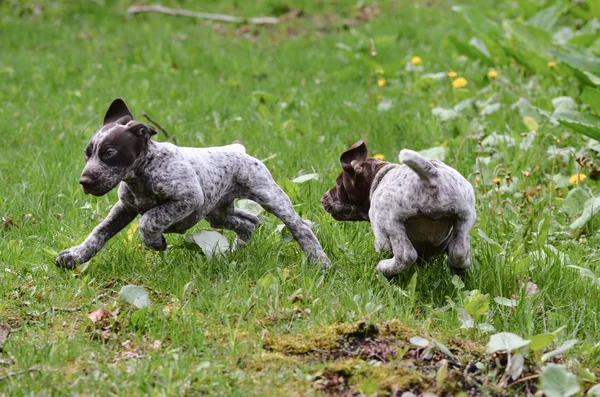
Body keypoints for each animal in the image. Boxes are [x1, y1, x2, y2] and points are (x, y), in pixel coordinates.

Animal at [54, 98, 330, 270]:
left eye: (110, 153)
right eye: (87, 154)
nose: (84, 181)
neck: (142, 174)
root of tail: (237, 148)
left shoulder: (187, 199)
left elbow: (149, 220)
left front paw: (156, 242)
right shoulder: (125, 207)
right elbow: (99, 232)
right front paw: (76, 255)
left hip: (270, 196)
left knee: (299, 227)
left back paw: (320, 261)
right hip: (217, 213)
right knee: (249, 222)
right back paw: (235, 252)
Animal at [322, 141, 476, 276]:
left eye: (338, 183)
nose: (323, 199)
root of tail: (433, 176)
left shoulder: (381, 240)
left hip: (391, 224)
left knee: (406, 256)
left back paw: (382, 269)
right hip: (465, 220)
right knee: (459, 255)